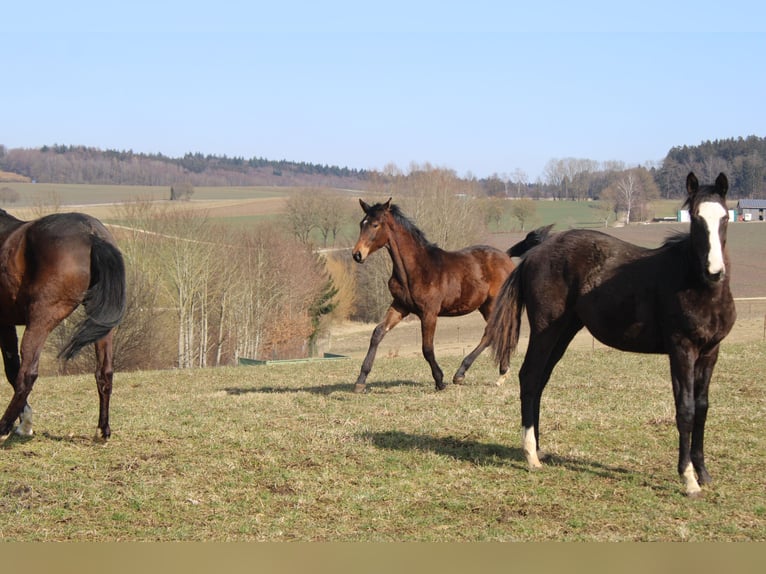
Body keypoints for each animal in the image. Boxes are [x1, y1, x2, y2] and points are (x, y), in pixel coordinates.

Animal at [0, 210, 127, 440]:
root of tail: (91, 233)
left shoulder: (4, 323)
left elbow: (12, 370)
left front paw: (24, 423)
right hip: (102, 322)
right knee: (105, 372)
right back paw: (102, 431)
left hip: (41, 319)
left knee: (27, 374)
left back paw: (3, 428)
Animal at [354, 199, 552, 396]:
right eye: (361, 224)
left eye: (375, 225)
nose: (357, 254)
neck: (416, 269)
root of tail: (506, 256)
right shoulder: (400, 307)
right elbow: (378, 333)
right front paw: (360, 382)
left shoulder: (429, 313)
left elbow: (427, 348)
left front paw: (440, 381)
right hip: (486, 307)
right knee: (497, 333)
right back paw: (501, 374)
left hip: (494, 304)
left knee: (492, 333)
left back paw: (461, 374)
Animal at [492, 173, 736, 498]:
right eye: (696, 218)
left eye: (724, 218)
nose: (714, 271)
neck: (697, 287)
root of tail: (536, 251)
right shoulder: (681, 350)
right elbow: (685, 410)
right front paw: (689, 479)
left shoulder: (710, 352)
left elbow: (702, 407)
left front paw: (704, 473)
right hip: (546, 329)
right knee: (530, 377)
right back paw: (531, 455)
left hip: (565, 331)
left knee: (540, 380)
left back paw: (538, 448)